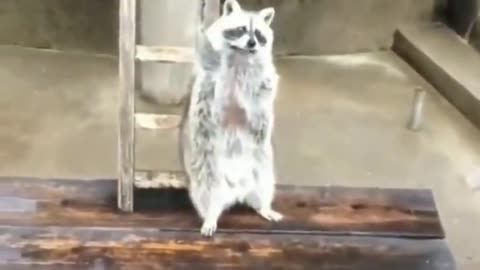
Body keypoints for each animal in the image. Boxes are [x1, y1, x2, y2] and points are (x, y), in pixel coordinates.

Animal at [179, 0, 282, 236]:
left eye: (259, 34)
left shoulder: (262, 78)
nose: (252, 43)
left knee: (264, 186)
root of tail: (237, 190)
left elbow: (264, 93)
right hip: (206, 171)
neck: (241, 56)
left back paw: (263, 206)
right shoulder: (211, 78)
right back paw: (210, 214)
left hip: (261, 168)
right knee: (206, 194)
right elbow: (217, 93)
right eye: (242, 29)